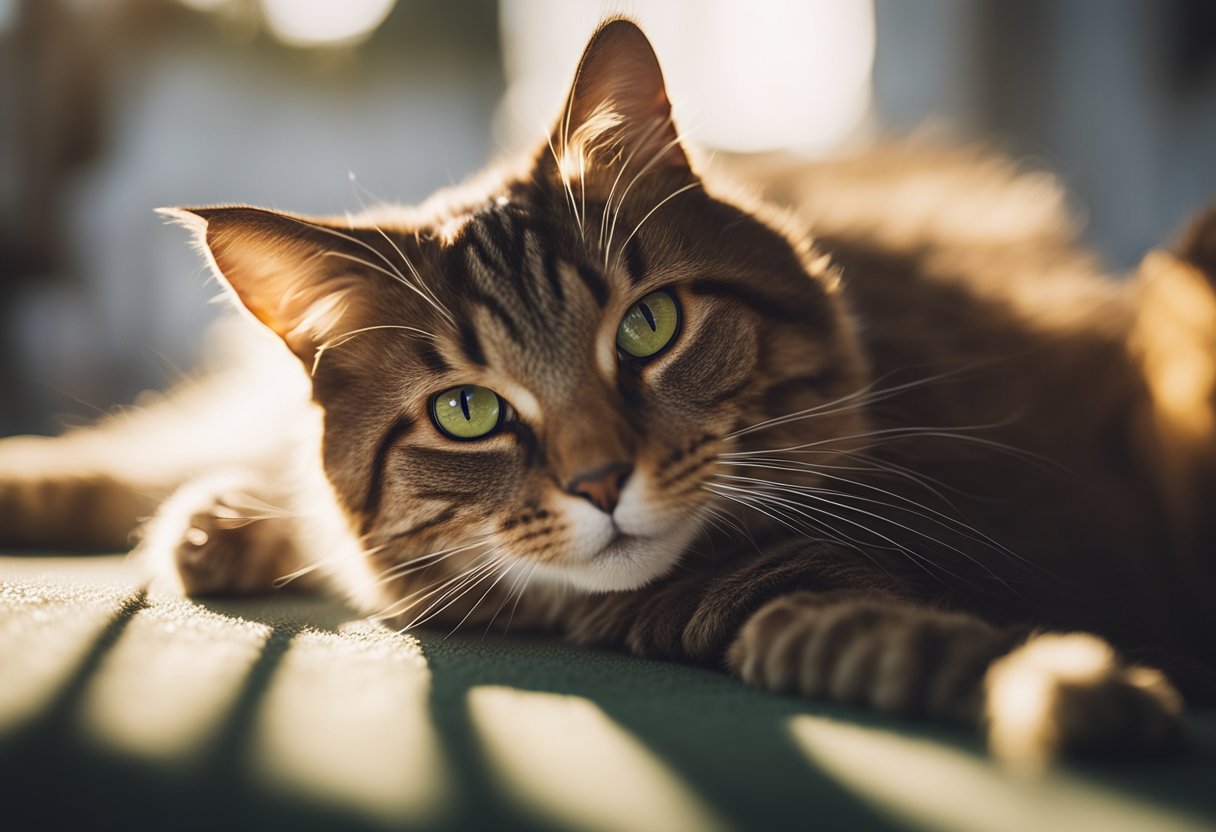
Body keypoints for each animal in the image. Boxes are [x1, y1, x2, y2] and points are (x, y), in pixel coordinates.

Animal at [2, 19, 1216, 763]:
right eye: (468, 411)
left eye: (648, 327)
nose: (599, 481)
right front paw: (1058, 686)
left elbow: (856, 621)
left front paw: (1048, 684)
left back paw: (225, 523)